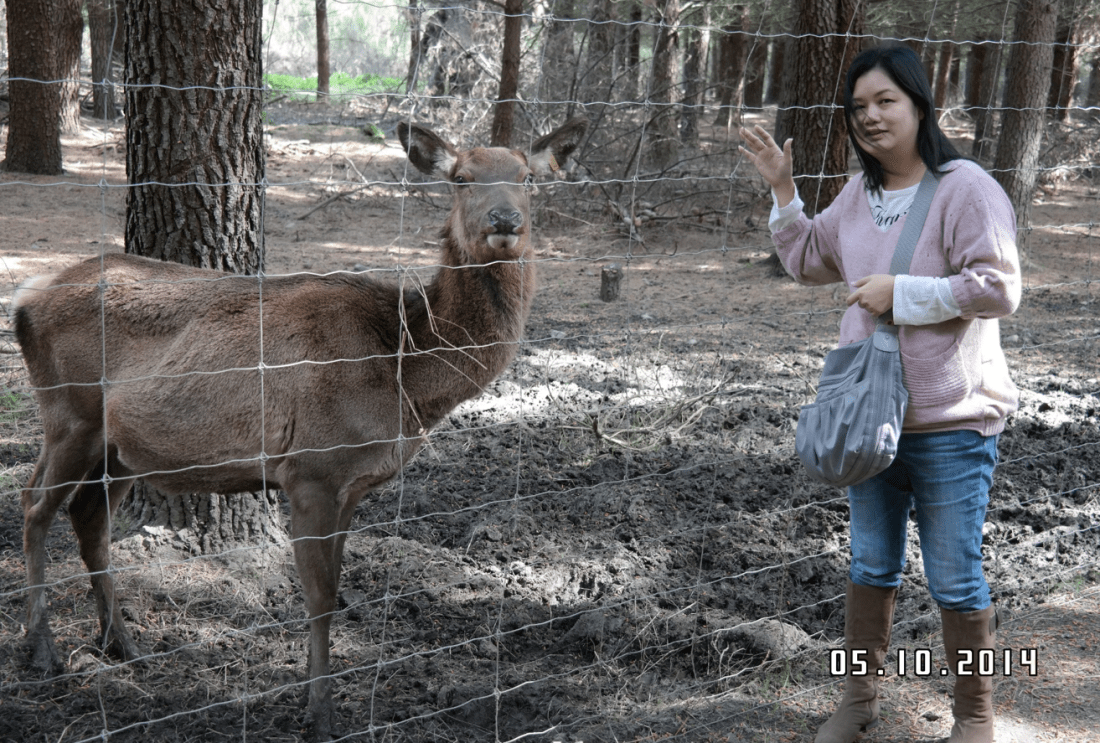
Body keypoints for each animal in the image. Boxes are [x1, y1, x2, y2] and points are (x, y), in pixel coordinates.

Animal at [11, 116, 587, 740]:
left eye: (528, 178)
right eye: (461, 178)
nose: (504, 220)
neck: (404, 369)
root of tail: (24, 298)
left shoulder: (353, 484)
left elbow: (335, 587)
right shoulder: (312, 469)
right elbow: (319, 597)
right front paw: (320, 714)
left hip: (121, 447)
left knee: (88, 517)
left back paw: (121, 643)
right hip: (70, 413)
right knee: (35, 503)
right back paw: (41, 649)